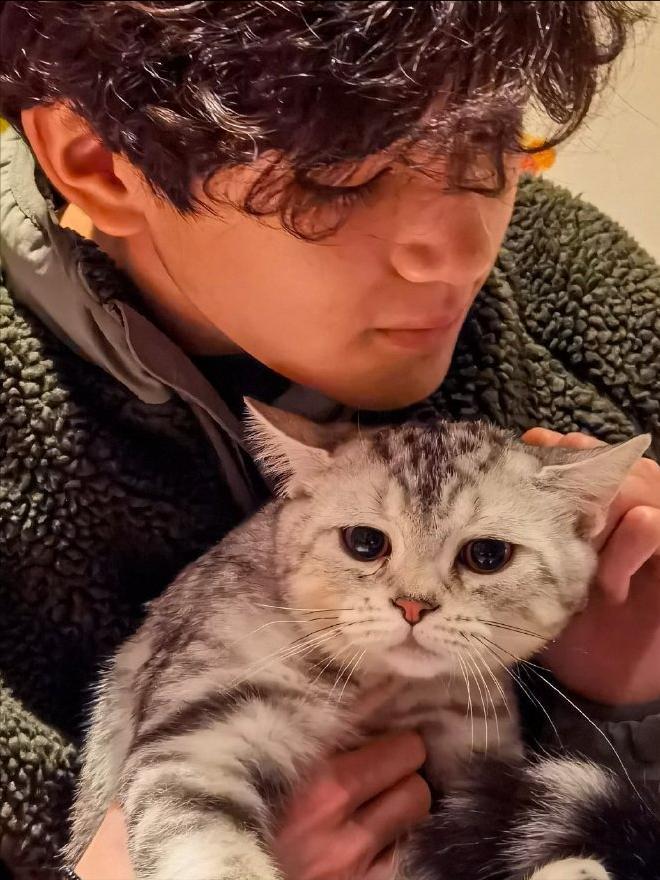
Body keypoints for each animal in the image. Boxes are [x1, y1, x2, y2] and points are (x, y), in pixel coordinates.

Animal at [63, 401, 659, 880]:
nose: (414, 605)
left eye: (487, 555)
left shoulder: (479, 767)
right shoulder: (195, 742)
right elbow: (207, 853)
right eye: (365, 543)